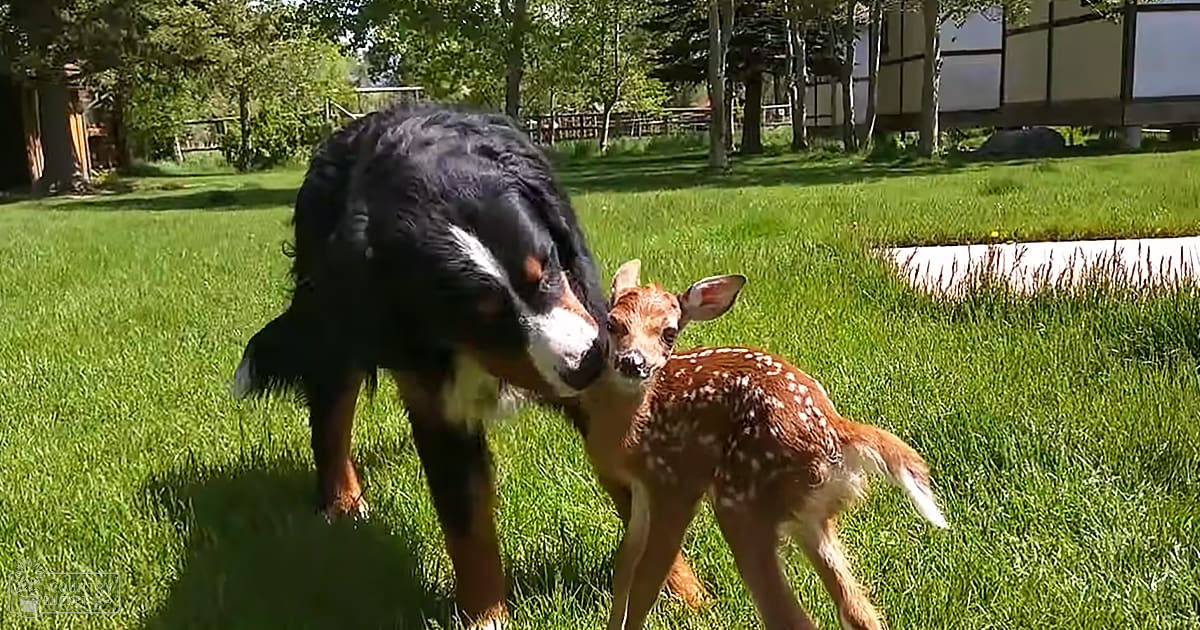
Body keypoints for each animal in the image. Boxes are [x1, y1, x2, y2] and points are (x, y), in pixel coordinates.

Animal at [579, 259, 949, 630]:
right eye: (612, 323)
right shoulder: (642, 490)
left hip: (744, 501)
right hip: (810, 516)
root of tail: (836, 430)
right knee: (859, 611)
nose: (632, 362)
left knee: (790, 617)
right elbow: (625, 568)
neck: (635, 428)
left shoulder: (674, 484)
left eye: (669, 333)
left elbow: (646, 580)